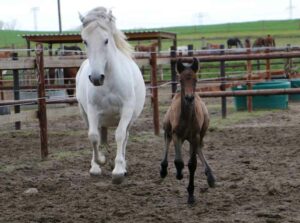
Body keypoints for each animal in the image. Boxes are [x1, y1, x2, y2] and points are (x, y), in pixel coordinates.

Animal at [75, 7, 145, 185]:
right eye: (85, 41)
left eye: (106, 40)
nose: (96, 78)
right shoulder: (92, 110)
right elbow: (93, 136)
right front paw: (99, 162)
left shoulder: (126, 110)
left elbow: (120, 135)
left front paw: (118, 171)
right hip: (86, 114)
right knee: (97, 134)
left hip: (130, 119)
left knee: (125, 137)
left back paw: (123, 167)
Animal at [159, 58, 216, 205]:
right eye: (181, 80)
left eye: (196, 80)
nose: (189, 98)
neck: (186, 117)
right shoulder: (176, 135)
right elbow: (179, 161)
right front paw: (179, 173)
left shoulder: (195, 136)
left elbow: (192, 164)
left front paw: (191, 194)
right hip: (167, 128)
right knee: (166, 140)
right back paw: (163, 169)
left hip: (199, 135)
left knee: (199, 148)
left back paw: (211, 177)